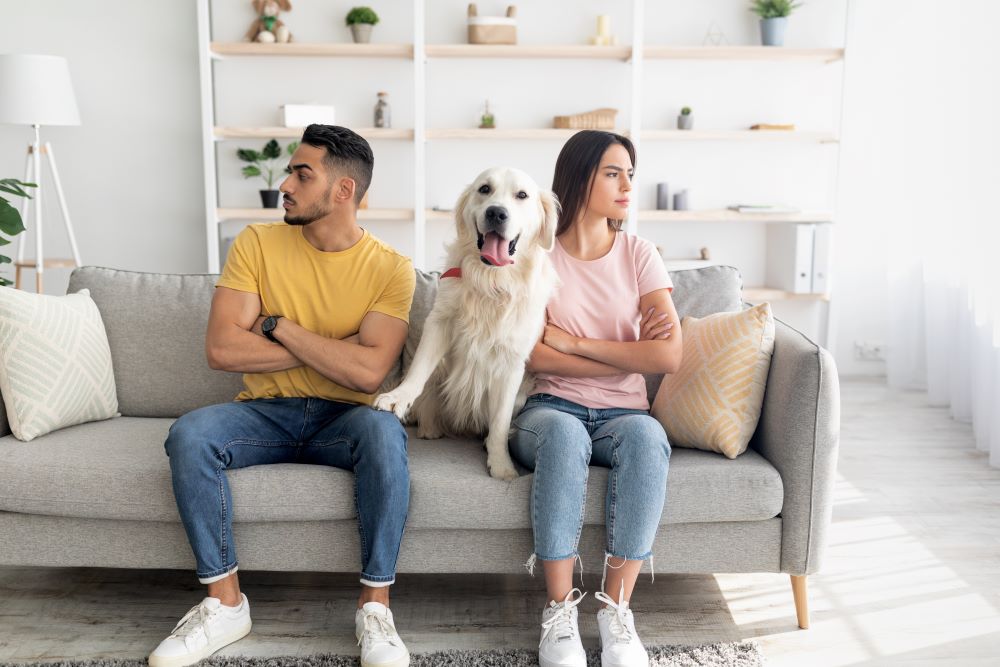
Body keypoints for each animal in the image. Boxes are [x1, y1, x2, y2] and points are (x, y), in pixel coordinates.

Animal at [376, 167, 564, 480]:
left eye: (522, 195)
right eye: (485, 189)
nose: (496, 213)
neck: (492, 281)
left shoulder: (513, 362)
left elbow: (500, 422)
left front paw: (501, 464)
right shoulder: (439, 322)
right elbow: (418, 370)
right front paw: (397, 397)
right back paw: (430, 428)